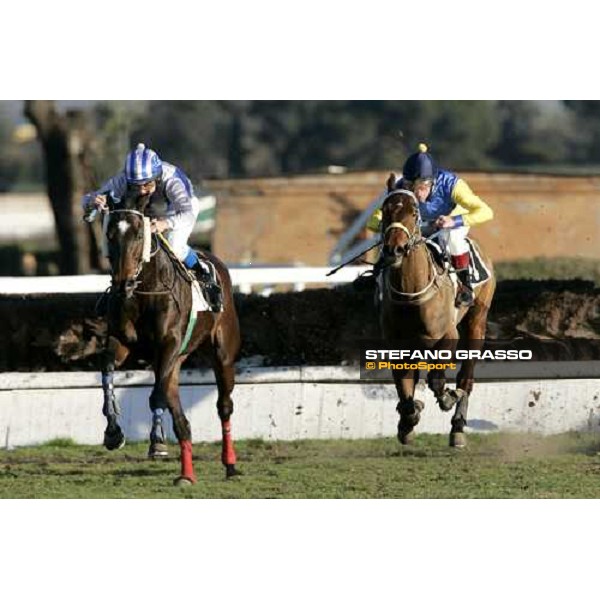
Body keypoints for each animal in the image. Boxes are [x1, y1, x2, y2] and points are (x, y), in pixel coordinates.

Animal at [98, 190, 239, 486]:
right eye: (110, 234)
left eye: (139, 233)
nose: (123, 283)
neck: (143, 291)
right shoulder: (123, 342)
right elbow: (107, 370)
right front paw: (113, 432)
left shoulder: (168, 345)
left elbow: (156, 397)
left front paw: (157, 442)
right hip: (176, 362)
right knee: (182, 419)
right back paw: (186, 474)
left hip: (222, 355)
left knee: (224, 406)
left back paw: (230, 464)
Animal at [380, 173, 496, 446]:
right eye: (385, 210)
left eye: (413, 212)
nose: (394, 249)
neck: (413, 292)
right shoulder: (397, 344)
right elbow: (404, 387)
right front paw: (408, 419)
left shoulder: (448, 336)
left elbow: (437, 380)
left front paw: (446, 397)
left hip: (476, 320)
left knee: (466, 377)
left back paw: (458, 427)